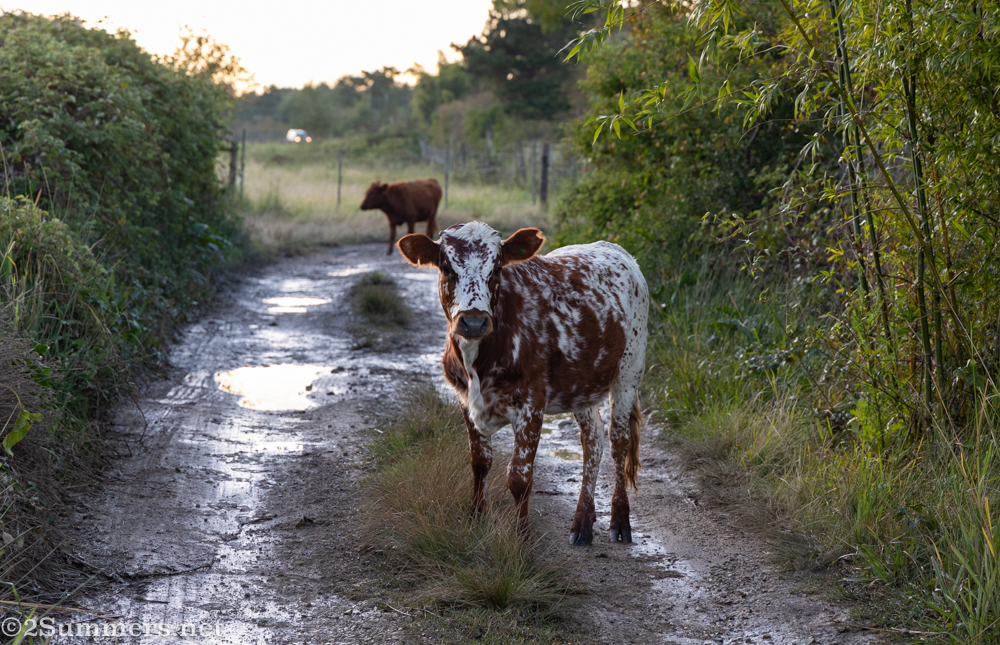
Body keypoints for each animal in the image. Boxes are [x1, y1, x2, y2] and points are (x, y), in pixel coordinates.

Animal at [397, 221, 649, 545]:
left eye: (496, 269)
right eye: (446, 267)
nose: (474, 322)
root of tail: (612, 247)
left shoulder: (531, 403)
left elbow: (519, 476)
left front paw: (523, 535)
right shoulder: (464, 400)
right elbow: (479, 463)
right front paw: (475, 518)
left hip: (629, 372)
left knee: (618, 441)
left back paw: (619, 519)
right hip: (581, 385)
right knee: (593, 438)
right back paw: (582, 523)